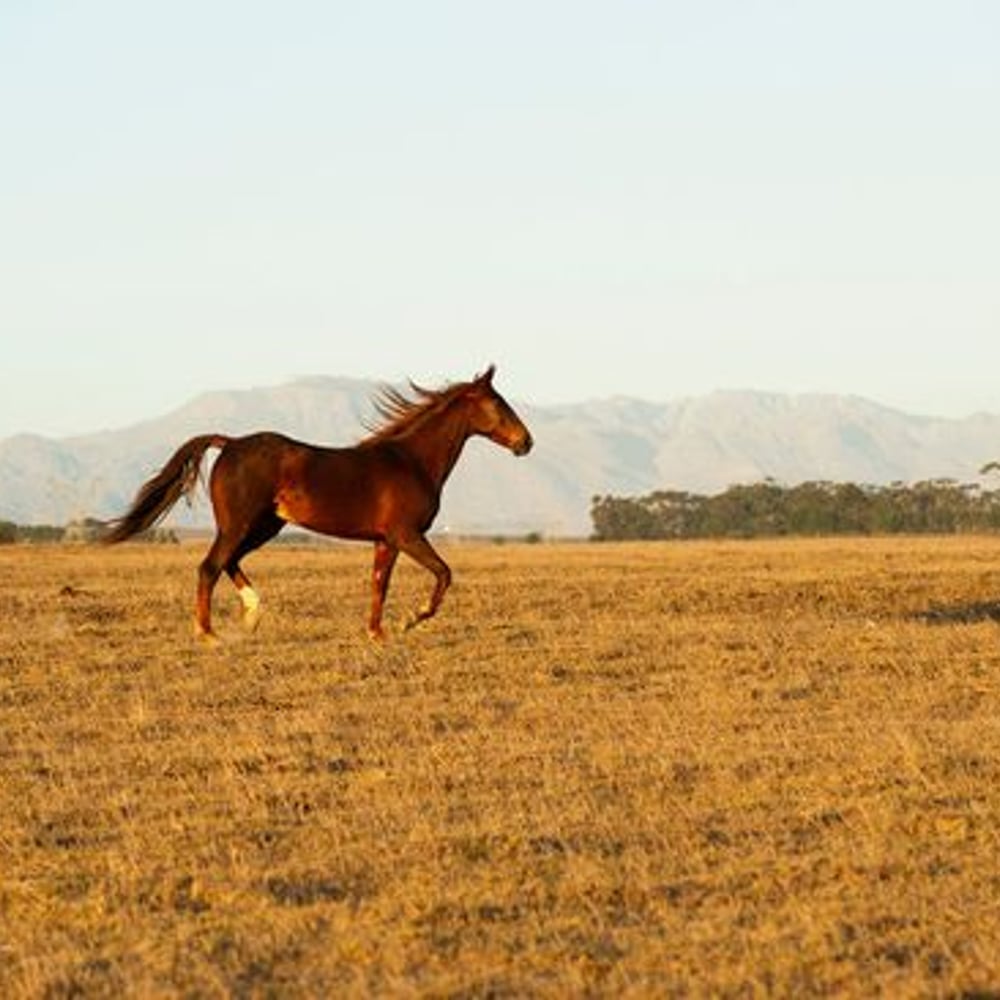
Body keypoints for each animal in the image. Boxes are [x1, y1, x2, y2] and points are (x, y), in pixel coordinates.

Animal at [104, 366, 533, 642]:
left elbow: (379, 585)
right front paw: (411, 620)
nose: (525, 442)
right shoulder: (407, 535)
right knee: (210, 566)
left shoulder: (385, 541)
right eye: (498, 404)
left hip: (265, 526)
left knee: (228, 562)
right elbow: (443, 574)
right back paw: (209, 633)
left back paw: (253, 615)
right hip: (240, 525)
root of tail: (231, 443)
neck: (411, 461)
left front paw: (377, 633)